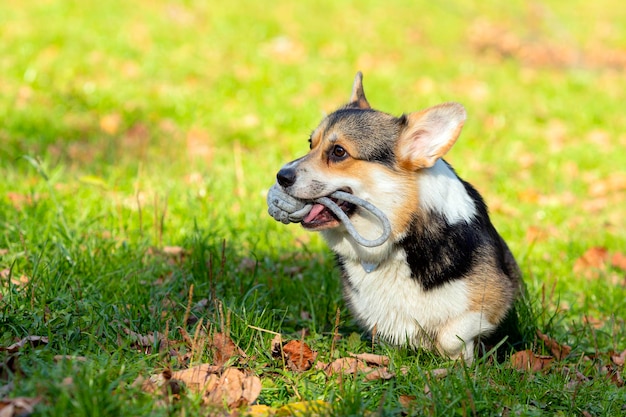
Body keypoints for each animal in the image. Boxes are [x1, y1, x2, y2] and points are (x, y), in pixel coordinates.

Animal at [270, 72, 520, 360]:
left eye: (338, 151)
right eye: (311, 143)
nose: (281, 176)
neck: (400, 238)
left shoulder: (493, 299)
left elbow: (451, 335)